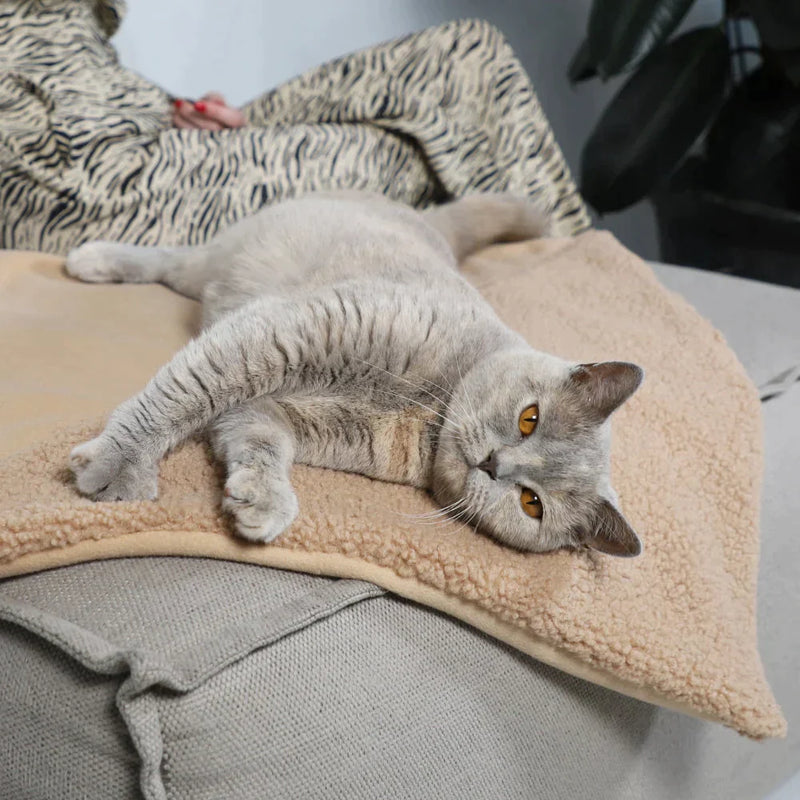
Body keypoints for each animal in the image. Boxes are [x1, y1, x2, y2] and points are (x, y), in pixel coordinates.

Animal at [67, 192, 644, 556]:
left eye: (531, 503)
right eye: (530, 418)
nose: (494, 464)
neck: (428, 411)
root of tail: (426, 220)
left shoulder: (277, 411)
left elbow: (258, 439)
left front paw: (261, 502)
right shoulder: (293, 329)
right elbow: (186, 393)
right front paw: (121, 468)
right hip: (223, 260)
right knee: (168, 259)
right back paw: (91, 260)